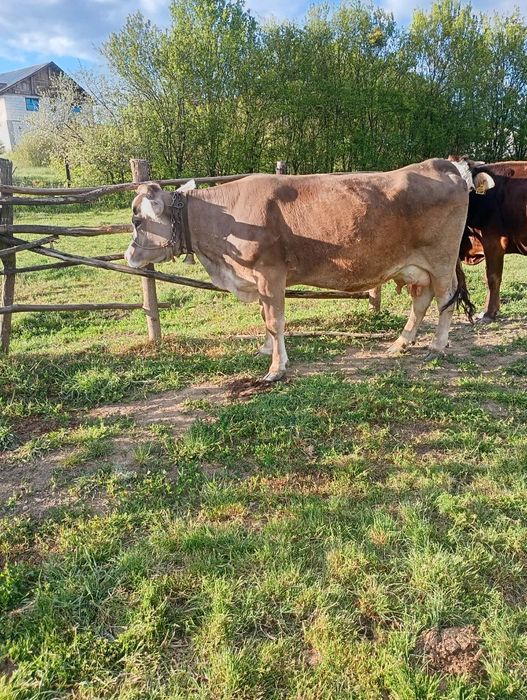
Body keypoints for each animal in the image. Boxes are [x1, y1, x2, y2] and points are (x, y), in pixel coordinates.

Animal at [125, 159, 474, 381]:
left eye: (137, 221)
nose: (129, 255)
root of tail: (441, 164)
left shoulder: (270, 273)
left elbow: (275, 321)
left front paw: (276, 369)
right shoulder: (259, 279)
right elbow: (265, 318)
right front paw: (266, 350)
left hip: (441, 260)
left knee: (445, 299)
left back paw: (436, 346)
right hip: (417, 266)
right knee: (421, 300)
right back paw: (401, 343)